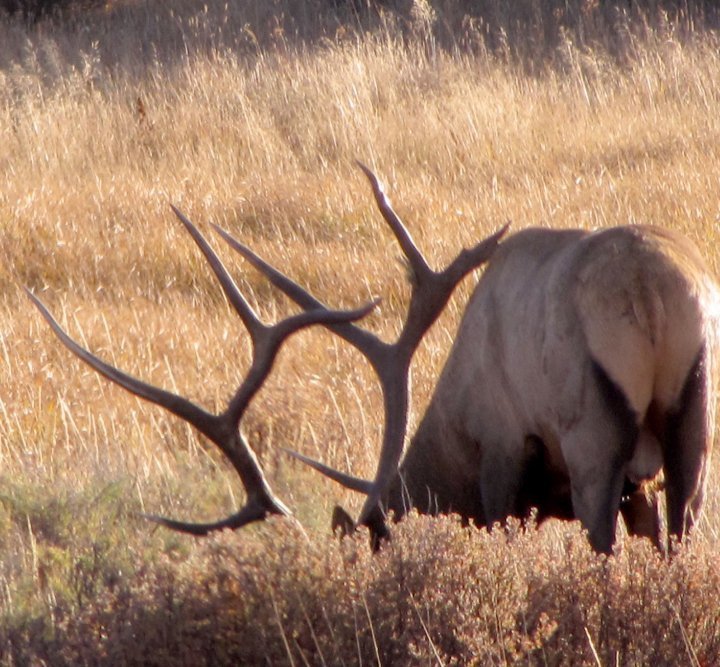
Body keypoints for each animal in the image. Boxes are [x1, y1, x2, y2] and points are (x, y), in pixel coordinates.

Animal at [27, 164, 719, 554]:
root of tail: (655, 293)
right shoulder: (623, 479)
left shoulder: (503, 447)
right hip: (694, 413)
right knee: (682, 534)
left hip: (591, 431)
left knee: (604, 542)